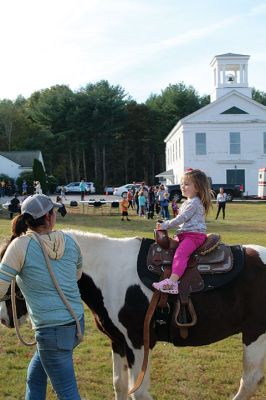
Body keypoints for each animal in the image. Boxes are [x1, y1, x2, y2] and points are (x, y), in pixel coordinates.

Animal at [0, 228, 266, 400]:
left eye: (14, 271)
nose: (4, 317)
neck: (107, 272)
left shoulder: (137, 343)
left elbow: (138, 391)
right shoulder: (117, 341)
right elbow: (119, 385)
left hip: (255, 333)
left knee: (250, 381)